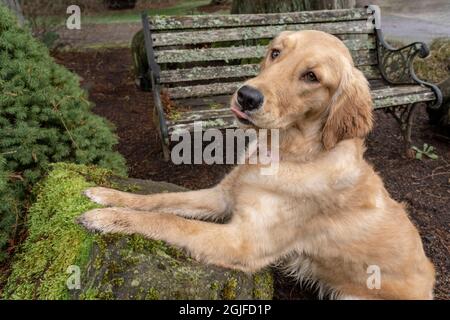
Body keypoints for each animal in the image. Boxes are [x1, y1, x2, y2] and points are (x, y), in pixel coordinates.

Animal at [78, 30, 436, 300]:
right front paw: (109, 196)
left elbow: (173, 222)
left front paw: (108, 218)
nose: (246, 96)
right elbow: (162, 200)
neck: (286, 151)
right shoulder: (222, 195)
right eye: (275, 53)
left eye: (311, 76)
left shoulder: (243, 242)